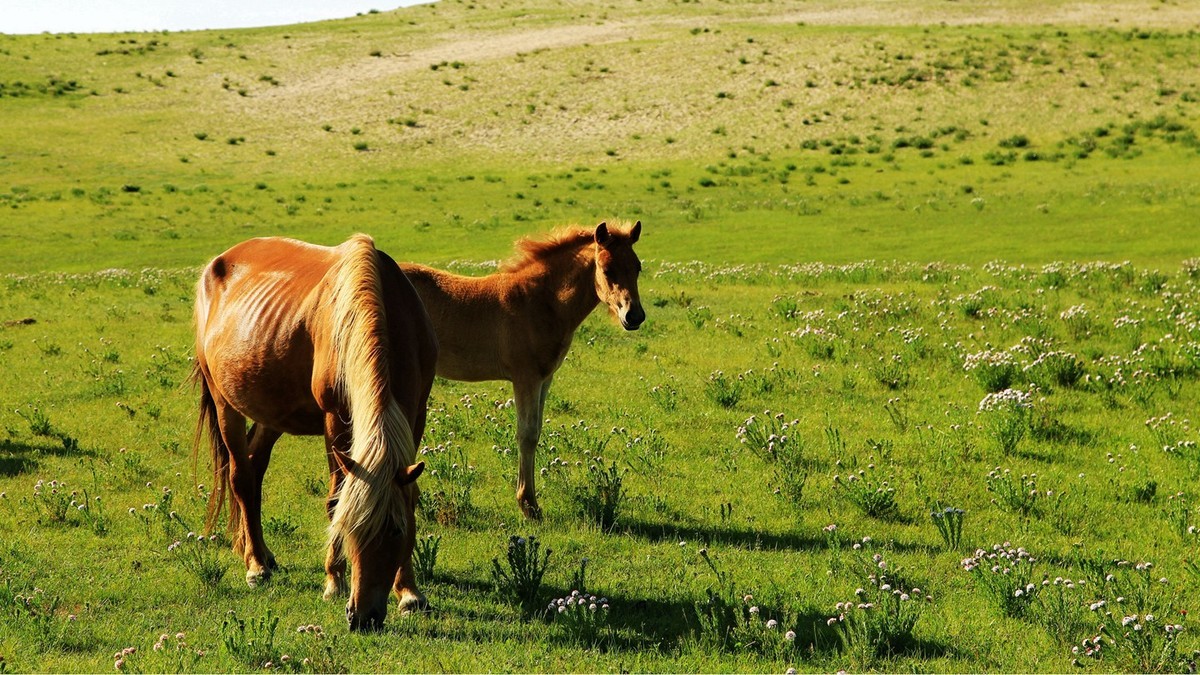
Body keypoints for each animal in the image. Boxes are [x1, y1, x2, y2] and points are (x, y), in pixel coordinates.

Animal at [194, 234, 439, 629]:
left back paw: (261, 552)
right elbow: (335, 498)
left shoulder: (416, 412)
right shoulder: (334, 417)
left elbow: (409, 497)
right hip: (224, 402)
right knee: (241, 477)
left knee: (255, 467)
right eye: (347, 529)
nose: (363, 617)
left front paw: (409, 592)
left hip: (271, 412)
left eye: (396, 532)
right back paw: (256, 566)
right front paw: (333, 580)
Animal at [400, 219, 648, 514]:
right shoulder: (525, 378)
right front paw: (529, 504)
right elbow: (526, 435)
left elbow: (537, 431)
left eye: (637, 266)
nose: (634, 316)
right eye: (607, 269)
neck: (540, 302)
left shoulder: (545, 378)